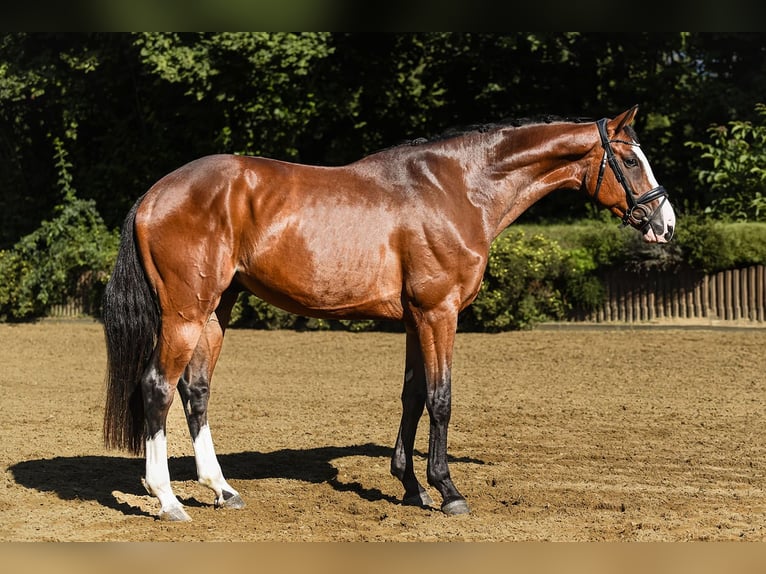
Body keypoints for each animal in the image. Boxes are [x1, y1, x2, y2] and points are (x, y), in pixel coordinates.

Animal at [102, 104, 680, 520]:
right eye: (631, 160)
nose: (666, 223)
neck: (458, 187)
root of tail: (154, 194)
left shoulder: (414, 319)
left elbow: (413, 396)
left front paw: (411, 486)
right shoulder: (439, 313)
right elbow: (441, 399)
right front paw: (448, 490)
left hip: (216, 311)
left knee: (195, 390)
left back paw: (222, 489)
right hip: (185, 313)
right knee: (157, 387)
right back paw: (167, 499)